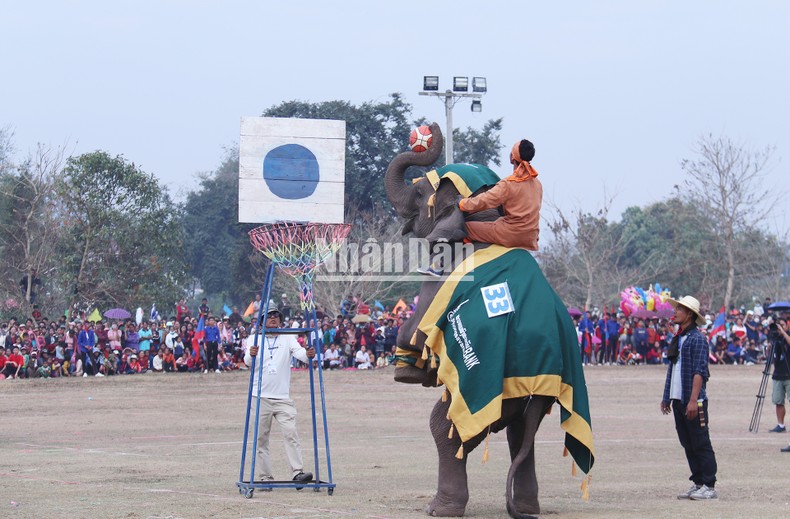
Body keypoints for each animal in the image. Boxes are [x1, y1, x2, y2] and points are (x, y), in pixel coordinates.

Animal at [384, 124, 592, 516]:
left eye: (419, 193)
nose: (427, 132)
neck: (487, 217)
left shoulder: (443, 271)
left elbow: (418, 323)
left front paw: (408, 371)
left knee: (447, 426)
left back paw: (441, 508)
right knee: (522, 431)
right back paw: (525, 507)